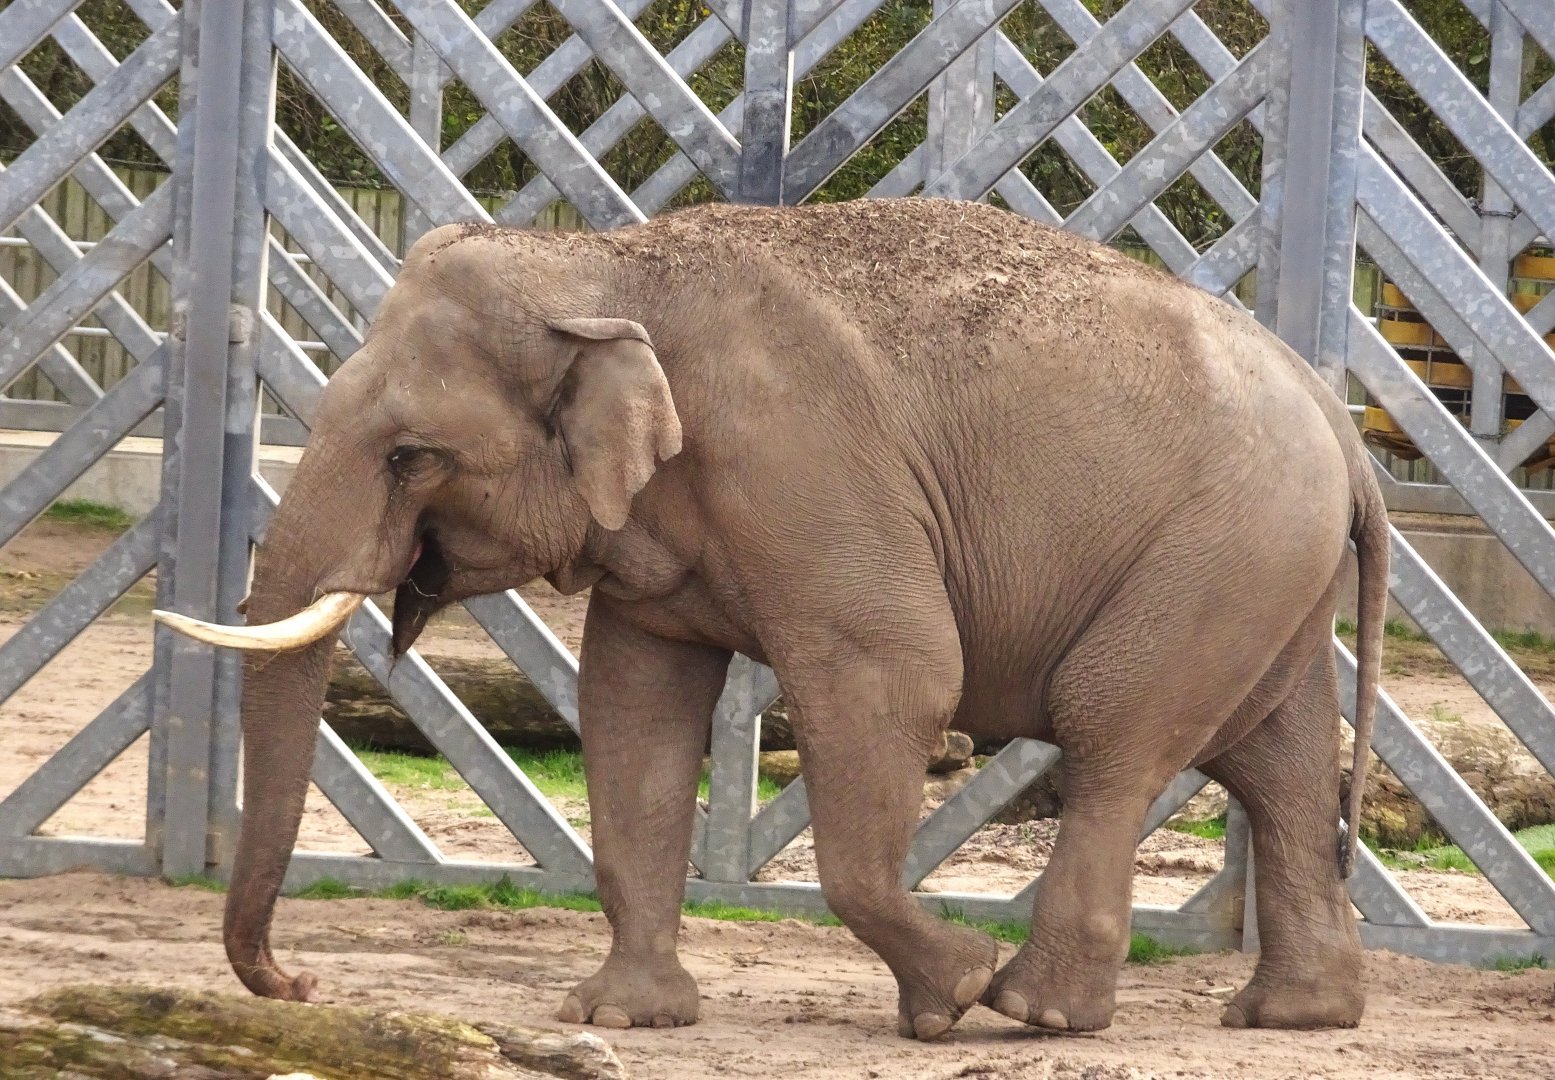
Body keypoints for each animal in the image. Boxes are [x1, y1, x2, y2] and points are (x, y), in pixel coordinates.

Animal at [157, 196, 1387, 1040]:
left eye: (411, 457)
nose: (300, 981)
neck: (600, 261)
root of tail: (1338, 416)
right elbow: (633, 711)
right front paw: (623, 1017)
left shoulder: (805, 467)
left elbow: (899, 675)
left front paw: (947, 995)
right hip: (1264, 564)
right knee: (1272, 756)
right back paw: (1292, 1017)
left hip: (1219, 547)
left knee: (1114, 731)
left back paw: (1033, 1011)